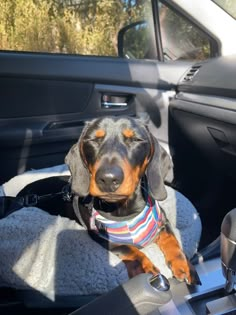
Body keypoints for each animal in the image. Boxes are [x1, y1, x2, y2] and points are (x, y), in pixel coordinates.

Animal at [65, 117, 200, 286]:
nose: (108, 179)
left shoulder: (163, 222)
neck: (127, 211)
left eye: (136, 139)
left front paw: (183, 265)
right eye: (93, 140)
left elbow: (172, 240)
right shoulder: (105, 239)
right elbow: (130, 249)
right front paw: (147, 268)